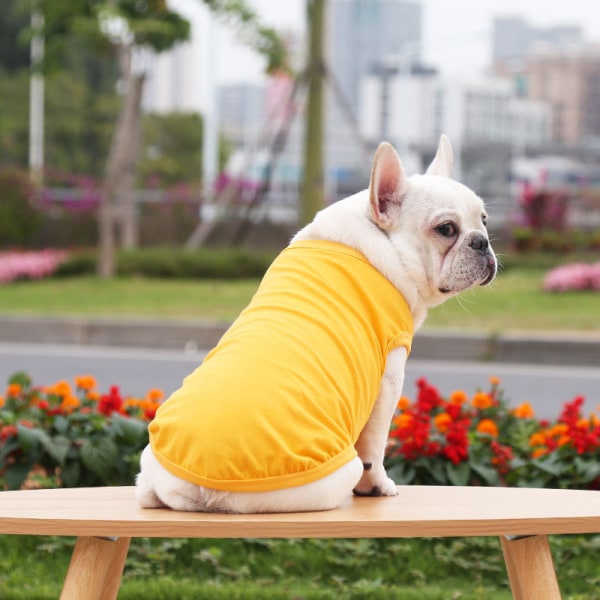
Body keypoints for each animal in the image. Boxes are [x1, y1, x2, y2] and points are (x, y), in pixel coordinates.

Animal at [136, 135, 496, 510]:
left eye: (484, 220)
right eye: (446, 229)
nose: (482, 241)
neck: (380, 237)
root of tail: (201, 487)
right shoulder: (389, 380)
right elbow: (374, 445)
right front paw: (377, 486)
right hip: (331, 473)